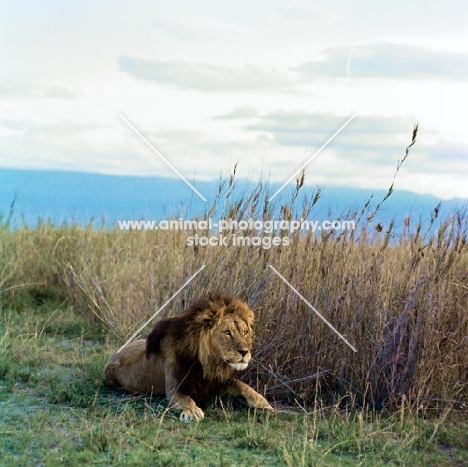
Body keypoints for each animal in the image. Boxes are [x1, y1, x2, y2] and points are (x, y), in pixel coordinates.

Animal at [104, 294, 272, 422]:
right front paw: (192, 412)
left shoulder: (213, 382)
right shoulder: (174, 389)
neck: (206, 362)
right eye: (227, 333)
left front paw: (262, 402)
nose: (245, 352)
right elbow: (186, 399)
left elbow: (242, 384)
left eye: (245, 332)